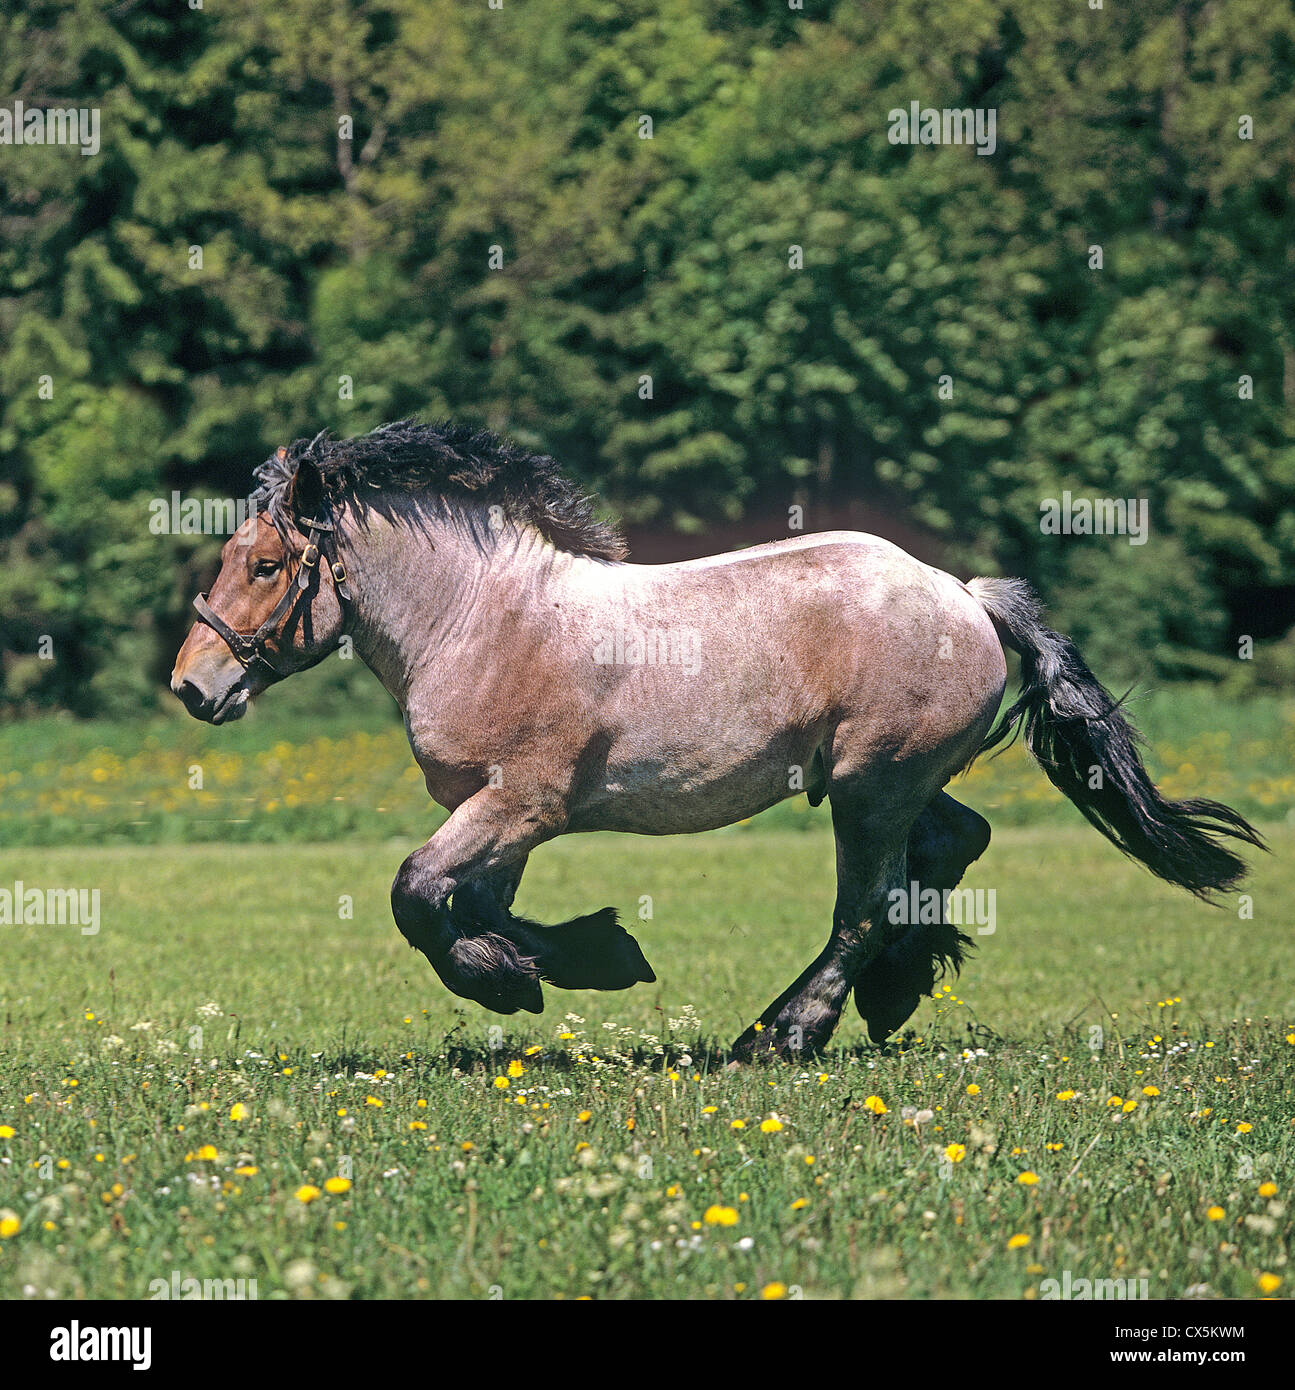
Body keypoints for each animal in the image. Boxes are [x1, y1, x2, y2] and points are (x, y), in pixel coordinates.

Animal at [171, 420, 1264, 1059]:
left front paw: (519, 978)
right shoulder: (497, 811)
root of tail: (964, 594)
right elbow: (466, 902)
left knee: (865, 908)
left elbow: (414, 891)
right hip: (890, 780)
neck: (482, 619)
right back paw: (892, 994)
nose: (192, 684)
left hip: (871, 787)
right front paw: (574, 958)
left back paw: (782, 1034)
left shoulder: (523, 801)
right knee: (955, 845)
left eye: (264, 563)